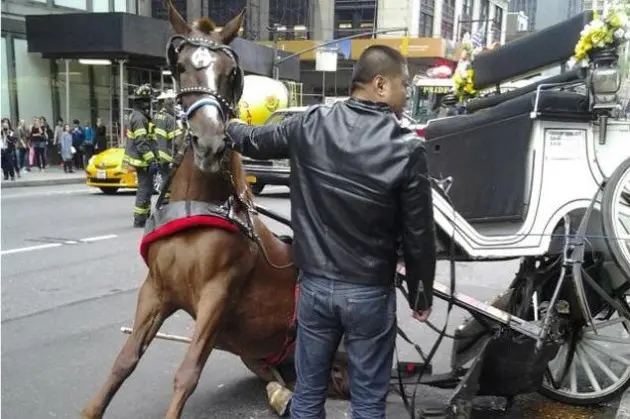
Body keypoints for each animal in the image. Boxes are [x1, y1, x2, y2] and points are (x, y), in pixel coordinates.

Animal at [80, 3, 350, 419]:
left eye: (231, 73)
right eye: (179, 66)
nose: (209, 142)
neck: (201, 206)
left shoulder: (218, 293)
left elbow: (187, 373)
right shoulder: (155, 291)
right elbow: (123, 362)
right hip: (256, 354)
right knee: (278, 376)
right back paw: (281, 394)